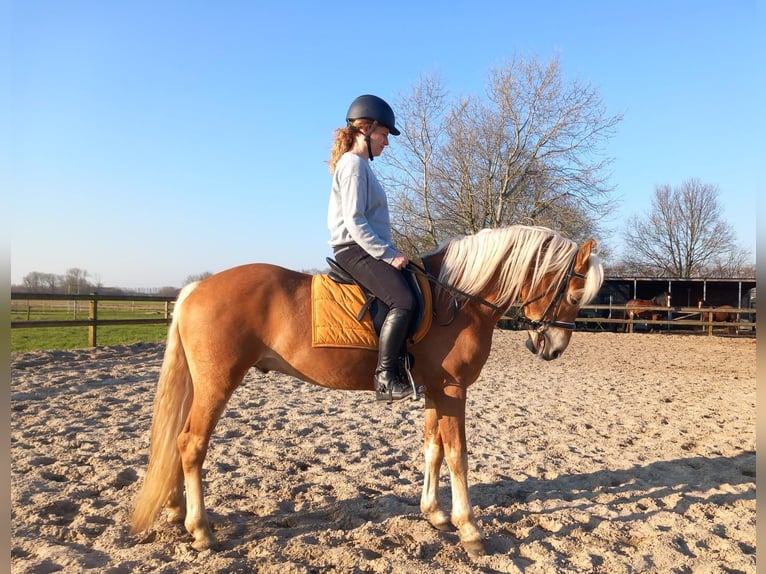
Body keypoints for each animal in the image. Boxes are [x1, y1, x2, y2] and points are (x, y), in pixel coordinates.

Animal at [130, 225, 608, 560]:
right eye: (573, 292)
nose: (553, 348)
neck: (457, 300)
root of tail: (196, 288)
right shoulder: (453, 390)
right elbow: (457, 455)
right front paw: (470, 529)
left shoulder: (434, 391)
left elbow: (433, 448)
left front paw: (434, 513)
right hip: (217, 383)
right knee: (191, 444)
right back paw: (201, 530)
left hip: (202, 385)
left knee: (177, 441)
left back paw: (176, 511)